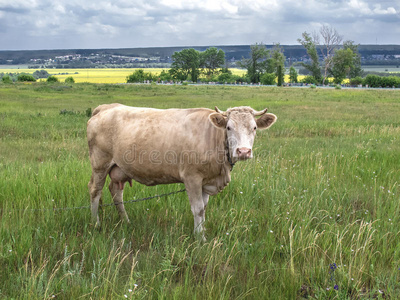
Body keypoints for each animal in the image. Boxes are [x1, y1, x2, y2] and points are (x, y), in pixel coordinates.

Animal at [86, 103, 276, 239]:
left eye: (254, 128)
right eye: (229, 127)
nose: (243, 151)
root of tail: (106, 107)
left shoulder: (206, 181)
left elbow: (203, 208)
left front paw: (202, 232)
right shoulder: (192, 178)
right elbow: (197, 208)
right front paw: (200, 239)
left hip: (119, 168)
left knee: (116, 193)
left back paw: (126, 221)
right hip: (100, 163)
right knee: (95, 191)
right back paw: (95, 224)